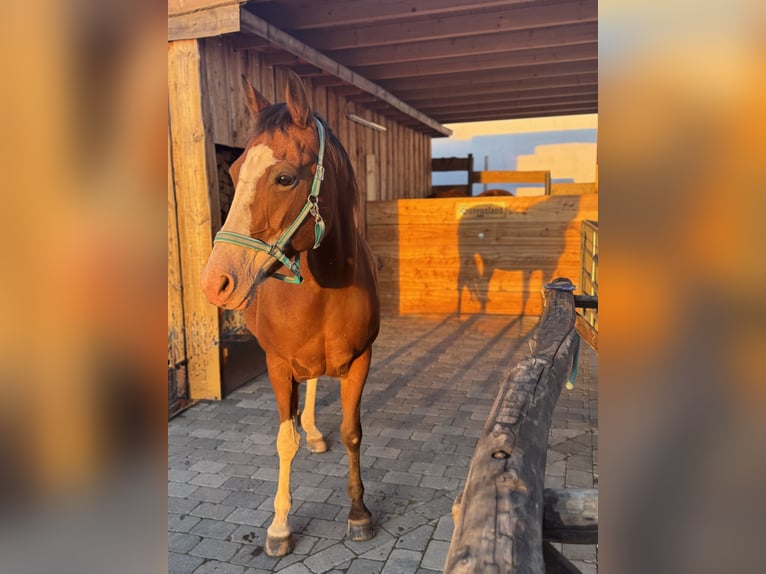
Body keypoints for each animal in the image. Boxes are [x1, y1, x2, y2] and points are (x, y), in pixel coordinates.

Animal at [200, 70, 380, 557]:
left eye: (284, 177)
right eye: (234, 172)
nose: (215, 282)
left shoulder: (361, 361)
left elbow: (353, 432)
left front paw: (358, 513)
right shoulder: (278, 365)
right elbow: (285, 440)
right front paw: (279, 527)